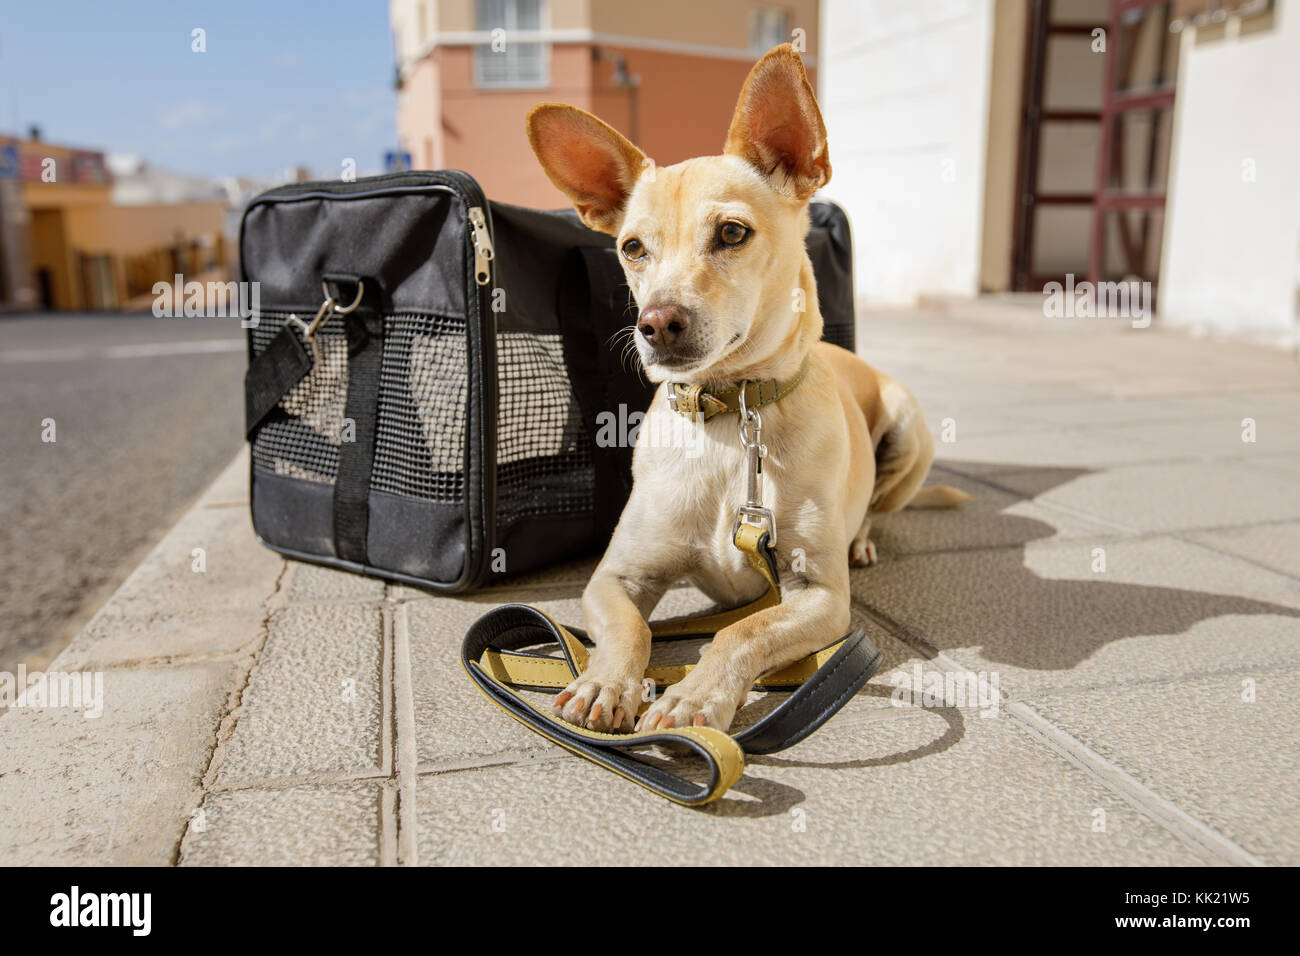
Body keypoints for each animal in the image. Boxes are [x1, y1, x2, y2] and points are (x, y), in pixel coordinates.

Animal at [525, 42, 967, 733]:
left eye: (732, 233)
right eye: (632, 247)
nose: (656, 324)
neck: (731, 416)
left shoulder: (819, 596)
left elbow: (742, 632)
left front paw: (693, 696)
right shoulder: (614, 578)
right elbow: (630, 630)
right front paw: (604, 681)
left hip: (907, 429)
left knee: (876, 506)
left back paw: (863, 537)